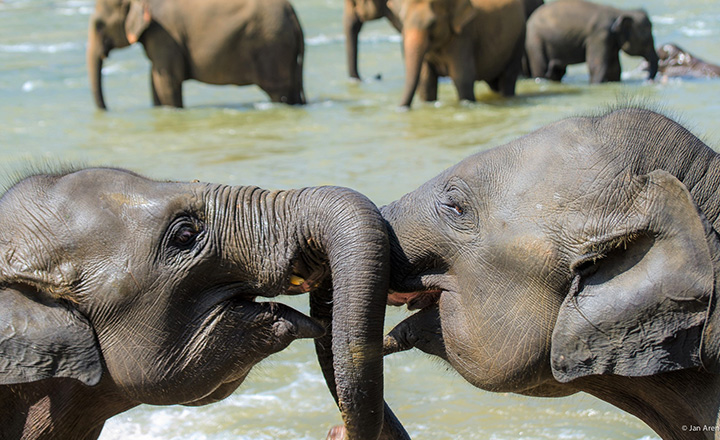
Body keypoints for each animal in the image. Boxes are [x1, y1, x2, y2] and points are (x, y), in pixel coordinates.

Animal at [88, 0, 306, 109]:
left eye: (99, 25)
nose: (107, 110)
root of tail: (293, 14)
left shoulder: (164, 34)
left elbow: (167, 80)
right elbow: (155, 81)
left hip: (272, 45)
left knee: (279, 91)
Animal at [386, 0, 524, 107]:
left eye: (433, 24)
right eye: (401, 21)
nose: (401, 109)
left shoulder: (464, 35)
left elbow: (462, 78)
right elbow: (426, 82)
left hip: (518, 39)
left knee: (508, 78)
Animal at [524, 0, 660, 83]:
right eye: (646, 40)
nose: (648, 80)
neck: (619, 12)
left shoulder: (611, 41)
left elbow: (614, 69)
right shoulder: (599, 35)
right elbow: (597, 65)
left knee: (557, 72)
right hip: (535, 42)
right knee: (541, 68)